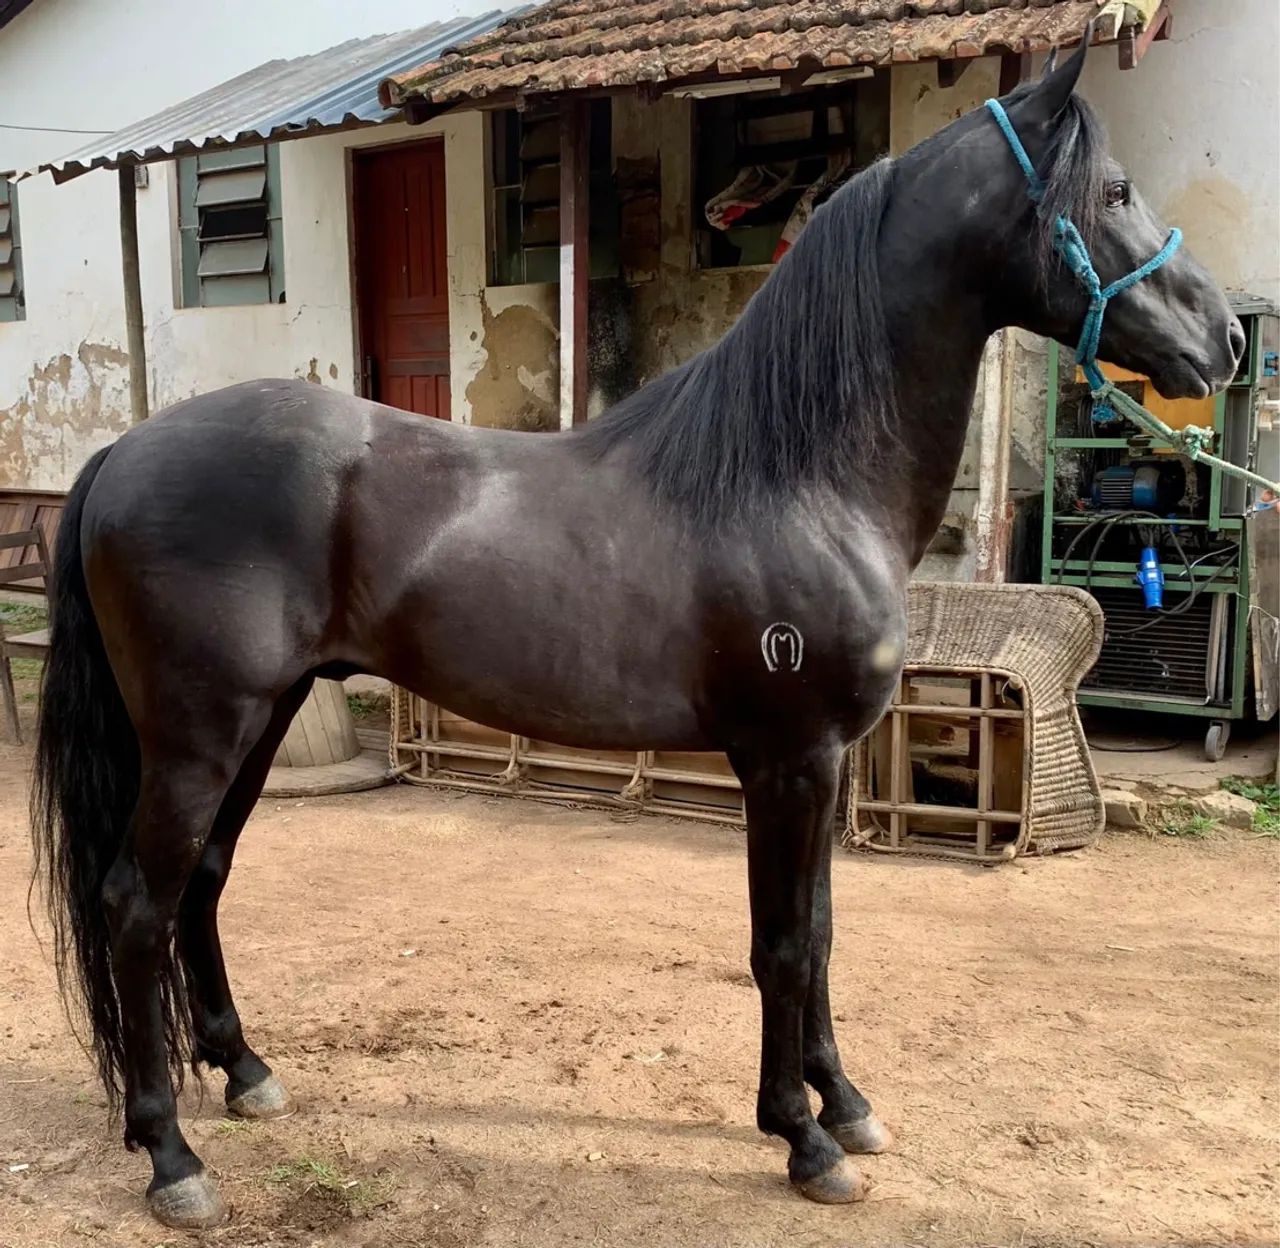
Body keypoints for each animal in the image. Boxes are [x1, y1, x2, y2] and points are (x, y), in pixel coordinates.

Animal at [31, 36, 1241, 1230]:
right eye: (1115, 190)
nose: (1226, 338)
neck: (797, 474)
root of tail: (124, 452)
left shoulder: (823, 766)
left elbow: (822, 932)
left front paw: (843, 1105)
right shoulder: (788, 762)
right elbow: (783, 944)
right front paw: (801, 1138)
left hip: (260, 720)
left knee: (203, 880)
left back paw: (244, 1074)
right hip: (199, 738)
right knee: (136, 905)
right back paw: (171, 1157)